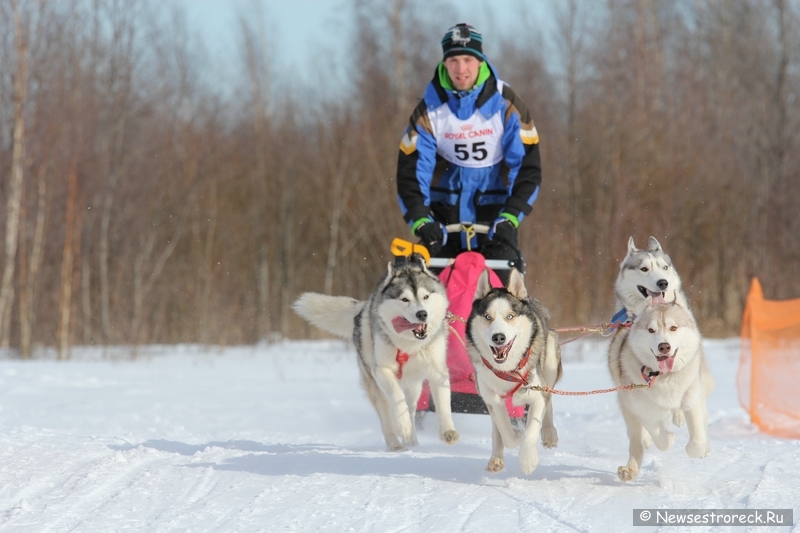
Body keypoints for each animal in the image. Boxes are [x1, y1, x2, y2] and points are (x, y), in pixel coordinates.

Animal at [294, 256, 460, 450]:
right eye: (405, 299)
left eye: (426, 296)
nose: (422, 314)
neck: (409, 345)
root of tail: (363, 308)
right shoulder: (381, 370)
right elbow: (396, 396)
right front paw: (402, 425)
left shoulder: (437, 370)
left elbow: (443, 403)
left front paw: (448, 431)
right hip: (376, 387)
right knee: (387, 416)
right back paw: (395, 444)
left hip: (413, 388)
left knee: (411, 408)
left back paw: (411, 441)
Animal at [462, 268, 564, 472]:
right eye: (487, 317)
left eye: (510, 316)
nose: (498, 337)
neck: (507, 371)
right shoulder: (492, 398)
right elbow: (505, 431)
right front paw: (516, 435)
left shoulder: (536, 394)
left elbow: (532, 429)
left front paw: (528, 459)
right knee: (497, 429)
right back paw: (496, 457)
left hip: (549, 358)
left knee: (548, 398)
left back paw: (549, 432)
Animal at [608, 298, 716, 480]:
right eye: (651, 330)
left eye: (673, 328)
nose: (664, 346)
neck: (665, 377)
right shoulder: (645, 410)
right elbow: (660, 438)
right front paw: (669, 438)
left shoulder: (691, 399)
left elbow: (698, 438)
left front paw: (698, 449)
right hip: (629, 407)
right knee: (636, 438)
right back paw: (630, 468)